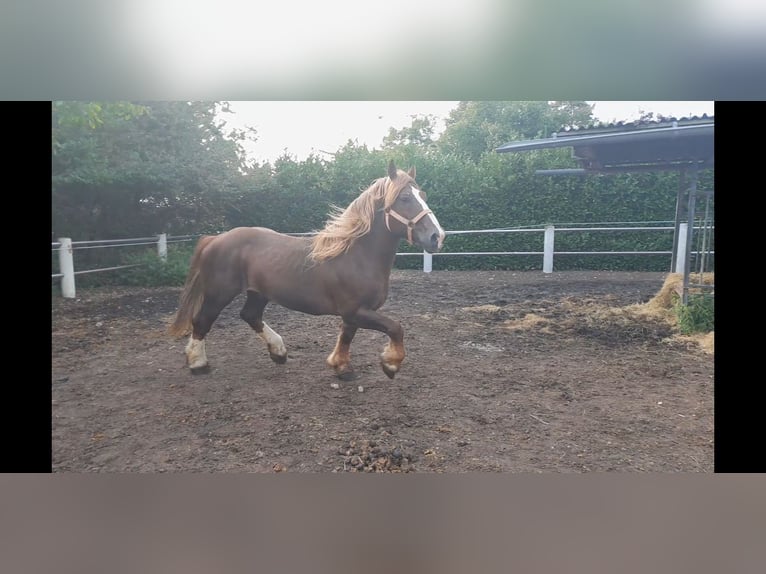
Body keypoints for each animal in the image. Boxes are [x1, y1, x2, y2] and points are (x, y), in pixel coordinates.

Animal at [168, 160, 444, 380]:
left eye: (423, 195)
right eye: (405, 198)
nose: (437, 237)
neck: (357, 256)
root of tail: (215, 238)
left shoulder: (354, 313)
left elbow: (346, 336)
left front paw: (341, 367)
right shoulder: (356, 310)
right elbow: (395, 327)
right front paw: (390, 364)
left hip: (258, 292)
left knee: (250, 315)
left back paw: (279, 352)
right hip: (219, 293)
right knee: (202, 321)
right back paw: (198, 364)